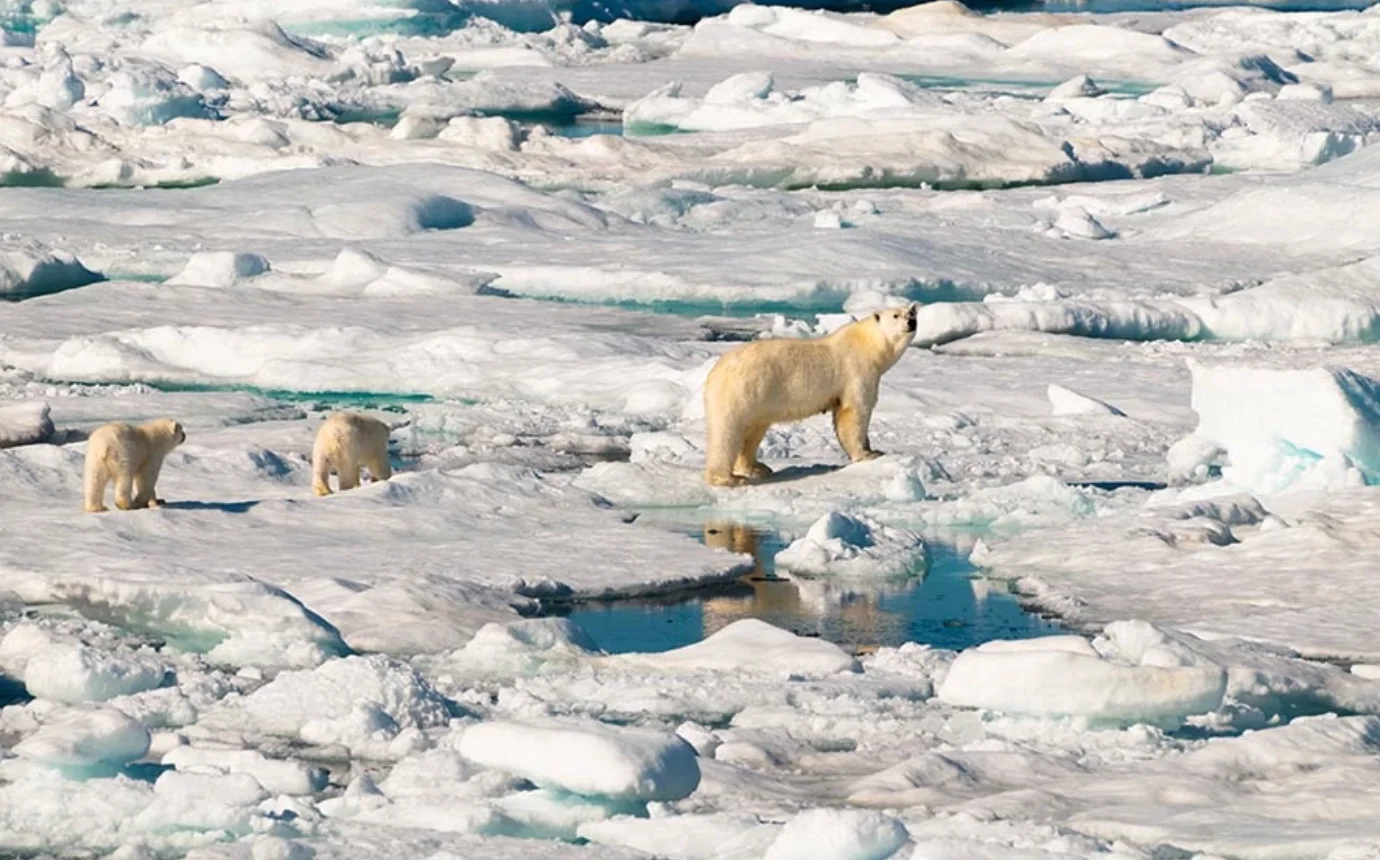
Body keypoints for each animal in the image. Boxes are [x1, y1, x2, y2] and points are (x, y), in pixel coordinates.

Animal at [702, 303, 918, 487]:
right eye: (896, 315)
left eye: (912, 313)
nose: (911, 322)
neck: (868, 345)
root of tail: (714, 373)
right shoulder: (856, 371)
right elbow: (854, 413)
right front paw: (868, 454)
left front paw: (873, 449)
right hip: (741, 392)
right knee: (727, 432)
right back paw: (728, 478)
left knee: (754, 431)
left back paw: (758, 468)